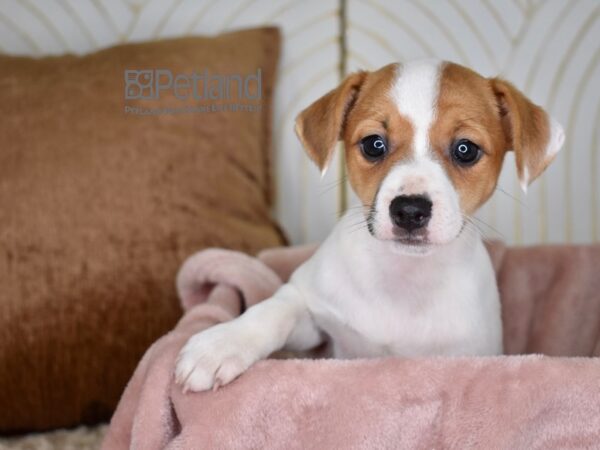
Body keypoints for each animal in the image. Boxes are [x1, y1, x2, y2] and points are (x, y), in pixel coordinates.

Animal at [173, 60, 564, 394]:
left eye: (465, 149)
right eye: (374, 144)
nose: (410, 210)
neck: (403, 278)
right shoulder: (312, 313)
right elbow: (272, 310)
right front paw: (220, 344)